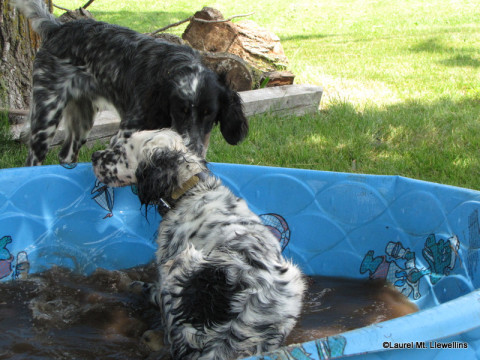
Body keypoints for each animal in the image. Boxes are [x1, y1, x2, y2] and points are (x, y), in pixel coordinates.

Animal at [13, 0, 249, 167]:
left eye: (210, 114)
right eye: (179, 111)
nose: (194, 151)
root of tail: (57, 28)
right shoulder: (121, 137)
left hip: (82, 120)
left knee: (66, 156)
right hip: (46, 119)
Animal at [92, 129, 306, 360]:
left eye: (118, 151)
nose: (93, 156)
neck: (190, 190)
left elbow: (153, 291)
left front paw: (134, 286)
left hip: (181, 267)